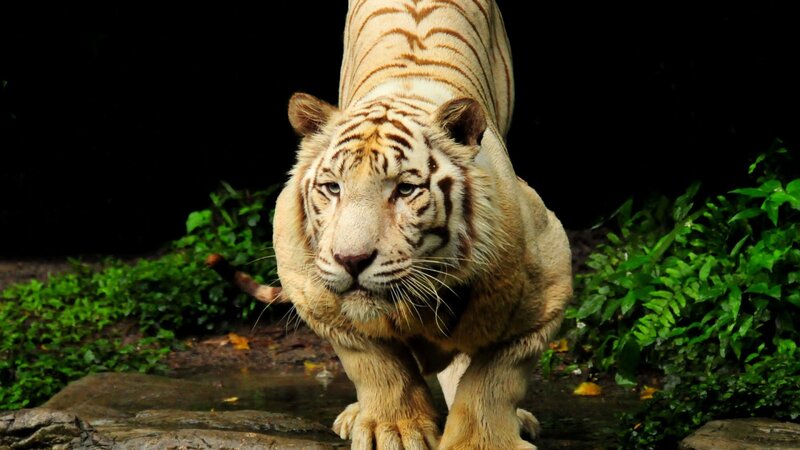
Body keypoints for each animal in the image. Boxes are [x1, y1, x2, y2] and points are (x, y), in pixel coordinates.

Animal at [271, 0, 573, 449]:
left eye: (405, 189)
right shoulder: (312, 289)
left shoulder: (548, 282)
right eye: (332, 187)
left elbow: (494, 378)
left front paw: (482, 441)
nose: (350, 260)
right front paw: (393, 431)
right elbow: (375, 363)